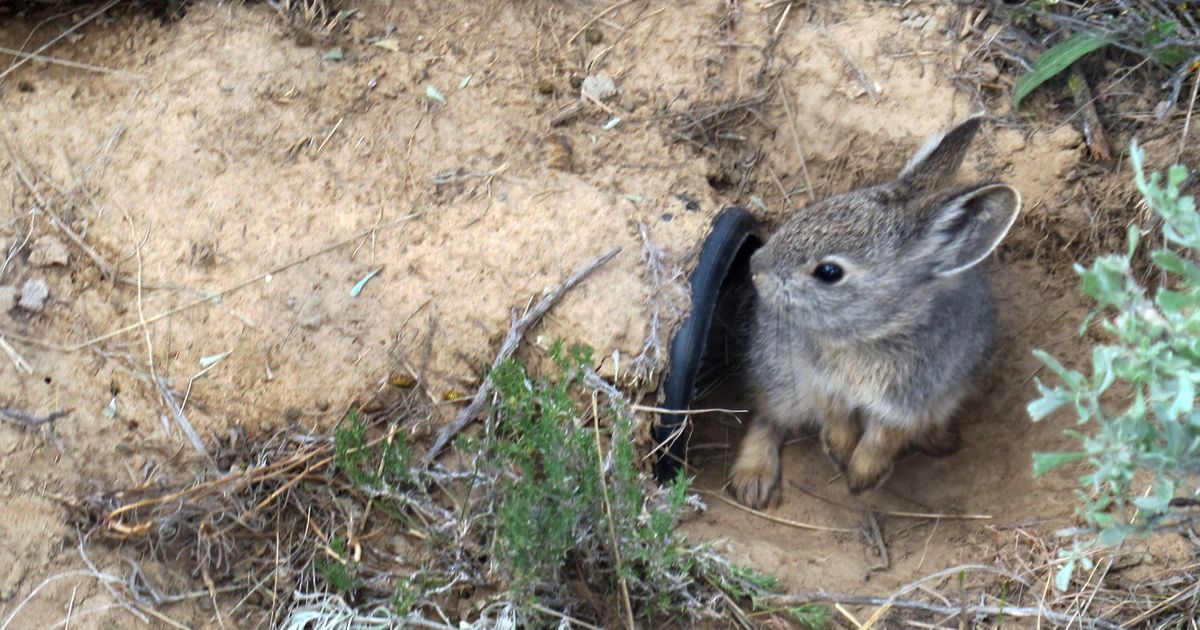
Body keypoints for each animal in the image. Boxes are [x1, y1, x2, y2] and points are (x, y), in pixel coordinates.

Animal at [729, 114, 1020, 509]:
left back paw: (939, 440)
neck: (877, 331)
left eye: (829, 272)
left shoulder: (910, 402)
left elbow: (884, 437)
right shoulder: (821, 383)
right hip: (778, 372)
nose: (756, 265)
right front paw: (840, 453)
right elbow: (836, 419)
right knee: (767, 416)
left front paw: (861, 475)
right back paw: (753, 480)